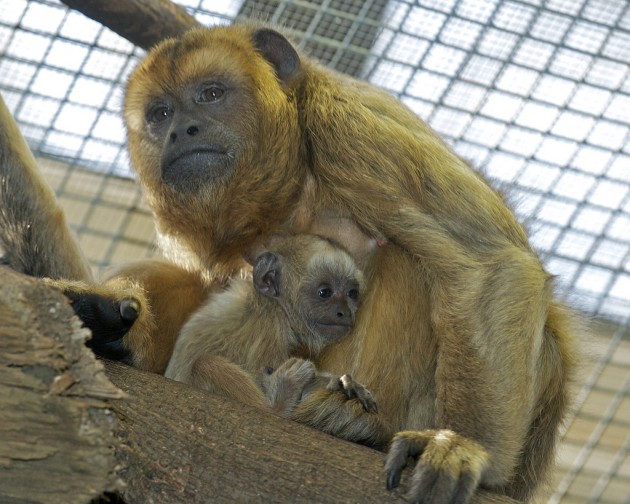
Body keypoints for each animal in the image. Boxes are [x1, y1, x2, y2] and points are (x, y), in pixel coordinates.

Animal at [0, 25, 576, 504]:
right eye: (160, 114)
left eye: (211, 94)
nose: (183, 130)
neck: (287, 192)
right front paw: (108, 318)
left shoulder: (348, 125)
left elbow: (485, 262)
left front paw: (463, 447)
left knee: (411, 261)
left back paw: (341, 419)